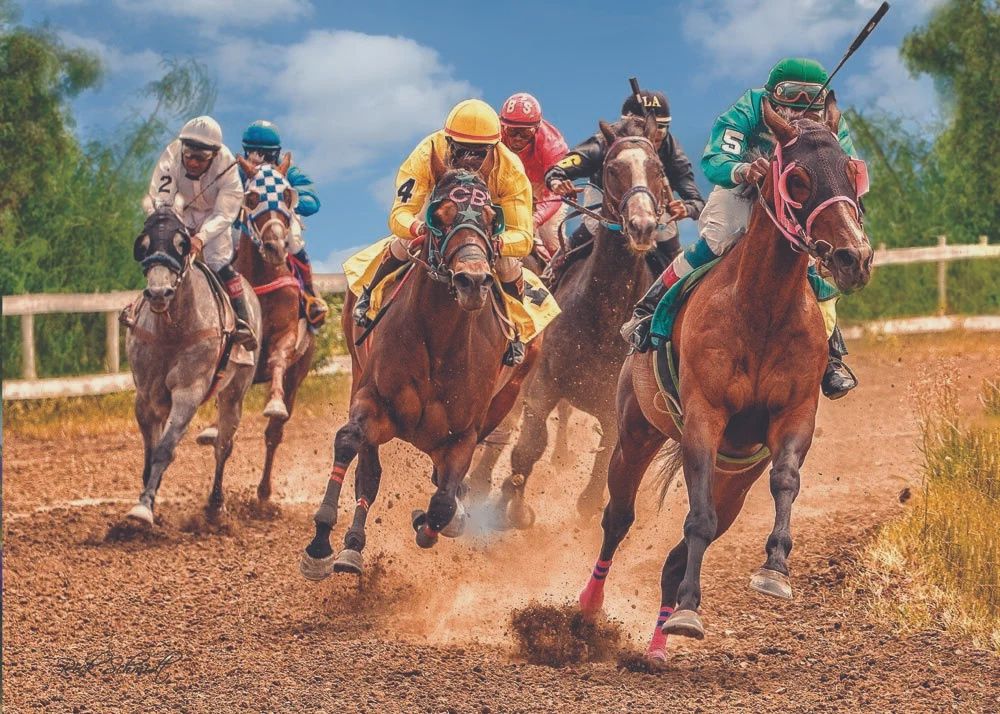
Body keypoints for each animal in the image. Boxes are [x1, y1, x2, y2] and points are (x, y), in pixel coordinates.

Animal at [124, 205, 262, 524]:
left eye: (181, 244)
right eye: (144, 243)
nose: (158, 292)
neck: (172, 329)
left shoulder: (188, 393)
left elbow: (164, 449)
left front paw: (144, 506)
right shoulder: (145, 398)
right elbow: (151, 452)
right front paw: (147, 498)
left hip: (234, 394)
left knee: (223, 447)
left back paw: (215, 504)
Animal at [196, 154, 316, 503]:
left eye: (287, 195)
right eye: (250, 198)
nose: (276, 246)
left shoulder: (287, 336)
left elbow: (277, 358)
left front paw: (274, 404)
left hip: (298, 374)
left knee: (274, 435)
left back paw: (264, 492)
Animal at [299, 154, 539, 579]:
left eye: (491, 217)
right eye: (438, 216)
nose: (472, 281)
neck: (440, 340)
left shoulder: (464, 434)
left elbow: (442, 502)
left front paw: (435, 521)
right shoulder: (374, 400)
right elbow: (349, 443)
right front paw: (321, 543)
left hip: (506, 398)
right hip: (358, 371)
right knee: (368, 471)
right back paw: (352, 547)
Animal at [476, 114, 667, 527]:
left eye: (658, 169)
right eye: (612, 168)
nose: (642, 225)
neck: (604, 316)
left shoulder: (614, 404)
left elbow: (602, 467)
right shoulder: (543, 384)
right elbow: (528, 447)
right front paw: (514, 507)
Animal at [576, 95, 873, 660]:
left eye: (852, 171)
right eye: (798, 179)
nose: (854, 256)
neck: (761, 309)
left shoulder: (793, 416)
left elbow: (785, 481)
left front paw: (774, 569)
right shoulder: (703, 418)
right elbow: (696, 517)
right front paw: (691, 612)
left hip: (734, 477)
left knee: (676, 553)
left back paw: (659, 642)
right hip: (634, 432)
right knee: (617, 518)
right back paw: (587, 609)